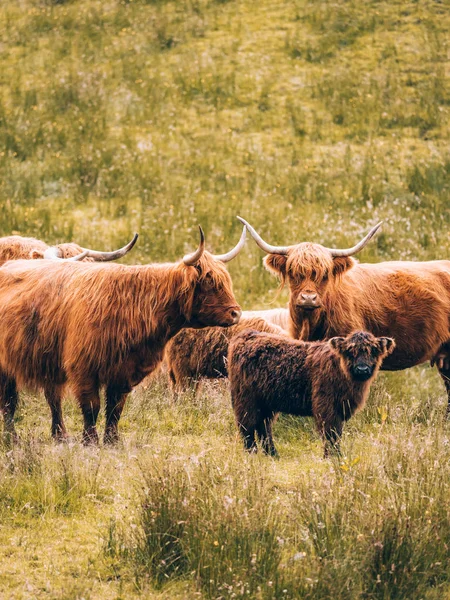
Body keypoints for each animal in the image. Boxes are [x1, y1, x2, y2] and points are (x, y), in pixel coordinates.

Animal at [0, 227, 246, 442]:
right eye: (209, 282)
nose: (236, 313)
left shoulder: (125, 370)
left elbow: (115, 408)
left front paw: (112, 441)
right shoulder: (83, 368)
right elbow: (91, 407)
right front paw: (90, 441)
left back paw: (57, 435)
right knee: (9, 401)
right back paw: (12, 438)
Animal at [229, 328, 394, 454]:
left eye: (373, 351)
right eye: (350, 351)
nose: (362, 369)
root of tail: (247, 335)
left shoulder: (341, 408)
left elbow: (337, 433)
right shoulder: (326, 406)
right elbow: (331, 433)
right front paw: (333, 457)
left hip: (266, 403)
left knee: (263, 427)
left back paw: (272, 454)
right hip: (245, 399)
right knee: (247, 426)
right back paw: (252, 453)